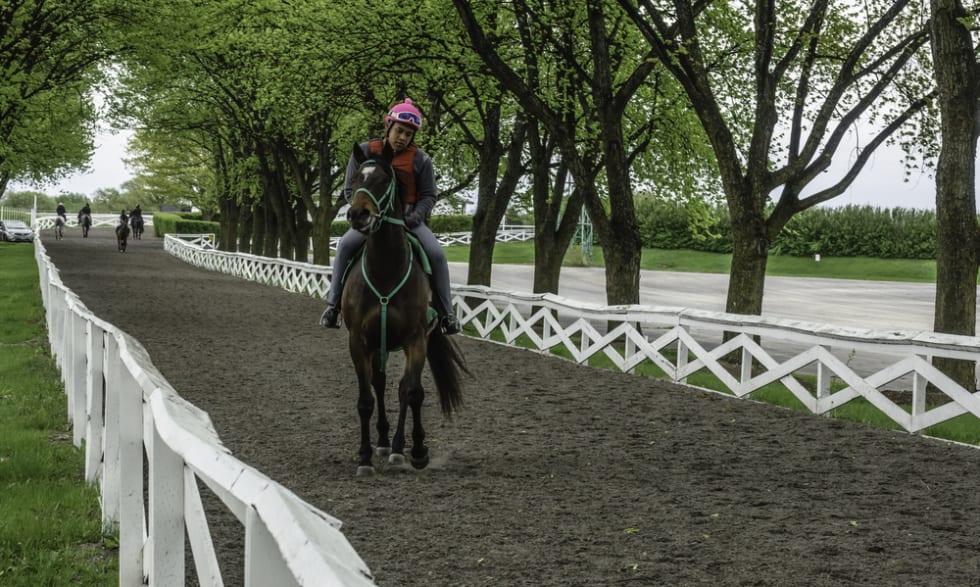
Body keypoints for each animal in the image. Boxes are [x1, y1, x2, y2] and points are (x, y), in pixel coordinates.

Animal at [342, 142, 468, 478]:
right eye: (356, 178)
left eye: (384, 180)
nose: (358, 214)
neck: (386, 270)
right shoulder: (358, 341)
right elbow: (365, 400)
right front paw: (364, 458)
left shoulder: (416, 338)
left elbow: (411, 392)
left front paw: (412, 451)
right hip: (378, 344)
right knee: (380, 383)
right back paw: (383, 443)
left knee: (406, 390)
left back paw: (402, 448)